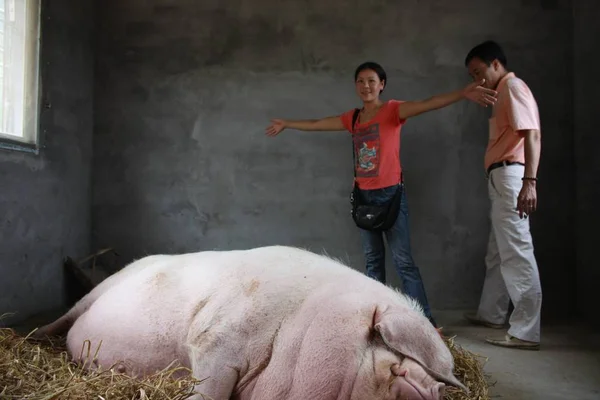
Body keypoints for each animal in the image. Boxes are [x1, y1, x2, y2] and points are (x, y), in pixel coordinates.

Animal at [34, 244, 468, 400]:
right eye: (394, 359)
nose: (433, 390)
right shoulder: (215, 339)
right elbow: (208, 390)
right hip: (98, 292)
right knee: (63, 319)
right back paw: (31, 338)